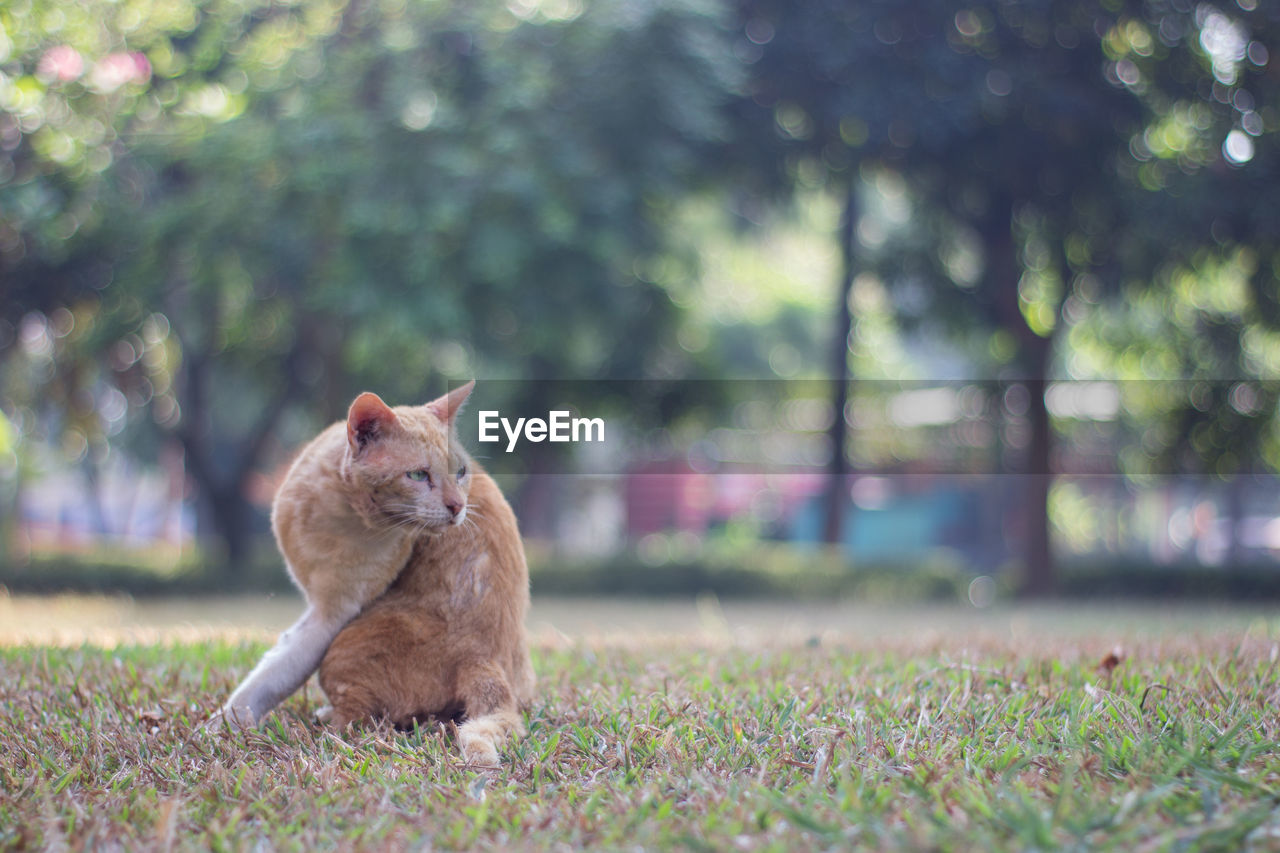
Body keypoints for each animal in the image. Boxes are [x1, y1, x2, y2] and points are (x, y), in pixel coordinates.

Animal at [212, 379, 532, 763]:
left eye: (460, 472)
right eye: (418, 475)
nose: (458, 506)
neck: (337, 507)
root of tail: (487, 659)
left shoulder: (332, 615)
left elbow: (273, 674)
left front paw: (221, 726)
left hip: (344, 648)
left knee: (360, 720)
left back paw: (323, 722)